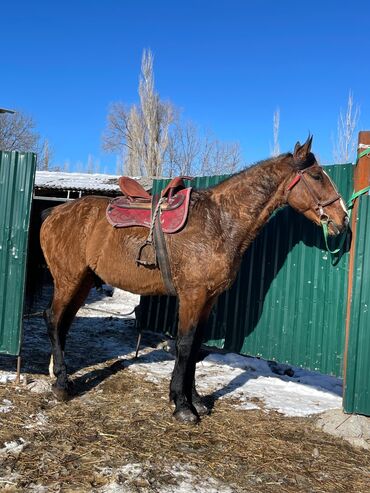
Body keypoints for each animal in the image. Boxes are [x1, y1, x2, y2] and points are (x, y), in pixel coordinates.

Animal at [41, 135, 350, 422]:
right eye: (316, 176)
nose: (343, 219)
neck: (220, 223)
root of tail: (54, 212)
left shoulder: (209, 298)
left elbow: (196, 346)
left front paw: (196, 400)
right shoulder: (193, 295)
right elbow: (186, 345)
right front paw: (181, 405)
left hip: (82, 281)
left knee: (63, 322)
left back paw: (59, 374)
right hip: (68, 279)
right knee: (54, 319)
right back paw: (62, 384)